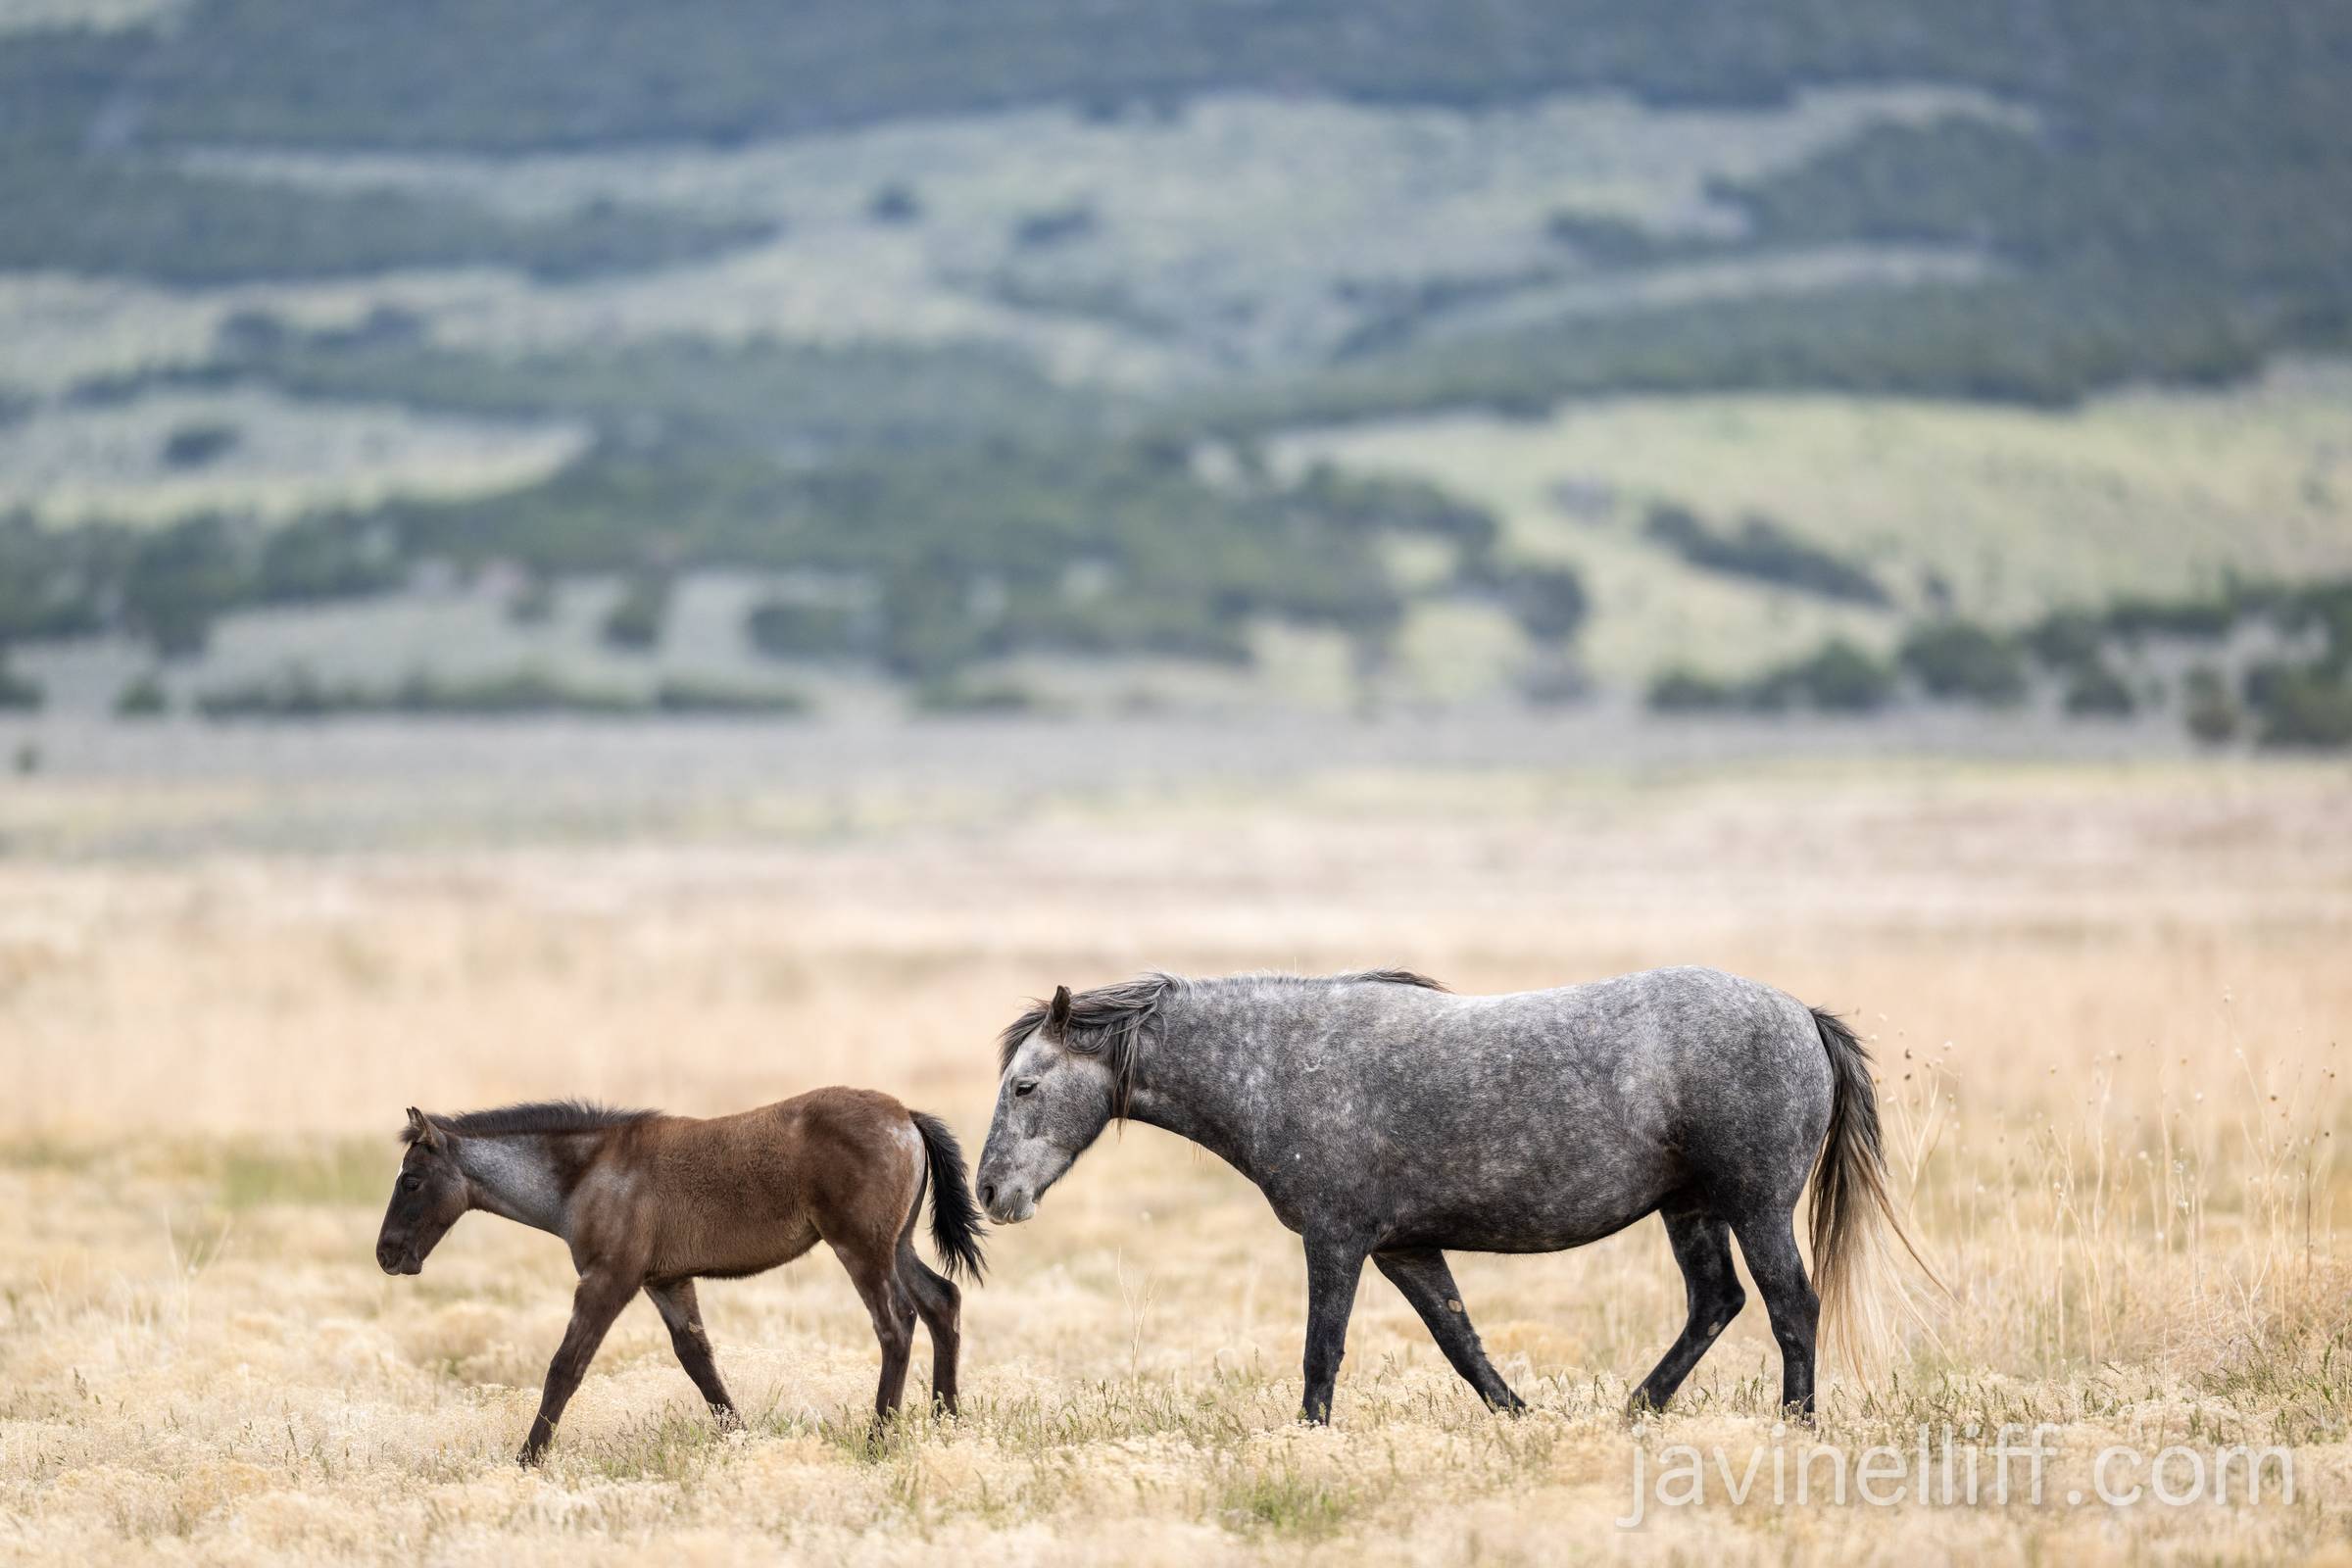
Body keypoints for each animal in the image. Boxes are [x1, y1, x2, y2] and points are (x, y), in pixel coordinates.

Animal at [375, 1089, 986, 1463]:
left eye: (410, 1181)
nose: (387, 1253)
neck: (586, 1173)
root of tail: (906, 1115)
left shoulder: (609, 1279)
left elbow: (565, 1368)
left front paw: (526, 1461)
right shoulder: (665, 1282)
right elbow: (700, 1364)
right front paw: (743, 1443)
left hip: (862, 1248)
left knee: (896, 1322)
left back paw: (880, 1440)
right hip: (897, 1245)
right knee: (942, 1302)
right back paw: (949, 1423)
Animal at [975, 966, 1930, 1424]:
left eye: (1024, 1085)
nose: (988, 1191)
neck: (1280, 1063)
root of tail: (1801, 1013)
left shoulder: (1337, 1240)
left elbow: (1322, 1352)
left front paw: (1308, 1439)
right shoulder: (1405, 1249)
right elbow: (1461, 1343)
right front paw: (1522, 1418)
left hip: (1755, 1205)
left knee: (1789, 1307)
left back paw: (1794, 1424)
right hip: (1690, 1208)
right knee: (1717, 1303)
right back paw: (1633, 1411)